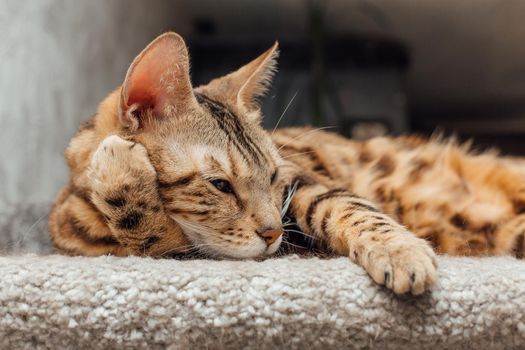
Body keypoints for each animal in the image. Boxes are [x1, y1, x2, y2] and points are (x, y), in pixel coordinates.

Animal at [48, 32, 524, 296]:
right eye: (220, 185)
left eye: (274, 177)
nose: (274, 232)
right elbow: (144, 229)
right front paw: (120, 177)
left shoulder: (306, 183)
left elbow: (352, 208)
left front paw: (400, 250)